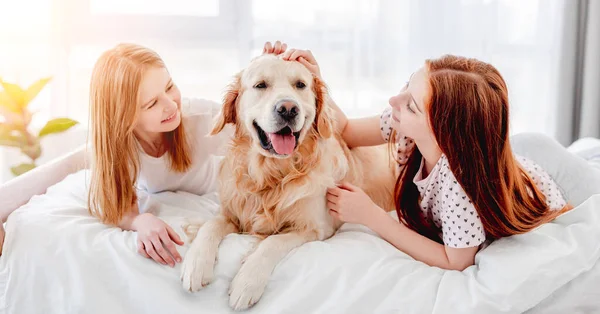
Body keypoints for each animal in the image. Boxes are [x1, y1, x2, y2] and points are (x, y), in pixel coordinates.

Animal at [178, 53, 396, 310]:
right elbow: (211, 225)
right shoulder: (233, 212)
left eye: (300, 85)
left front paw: (247, 282)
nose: (288, 109)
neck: (272, 175)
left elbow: (272, 242)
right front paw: (195, 264)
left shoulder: (314, 229)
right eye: (261, 85)